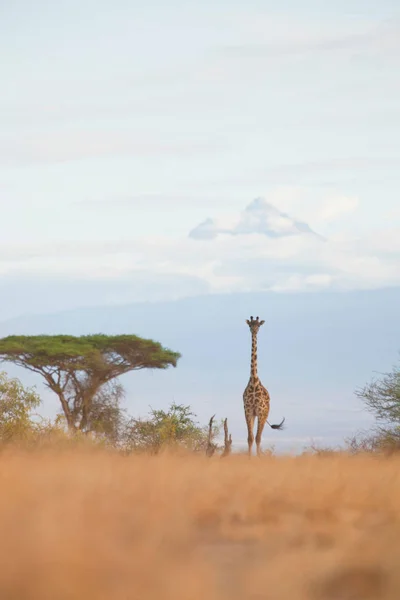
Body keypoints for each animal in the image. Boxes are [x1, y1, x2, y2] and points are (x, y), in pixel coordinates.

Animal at [244, 316, 284, 458]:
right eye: (250, 325)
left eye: (259, 325)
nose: (254, 330)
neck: (254, 381)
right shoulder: (248, 410)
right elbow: (250, 438)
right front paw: (249, 458)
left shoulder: (260, 411)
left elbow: (257, 438)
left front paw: (258, 458)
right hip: (255, 414)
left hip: (264, 414)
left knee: (259, 436)